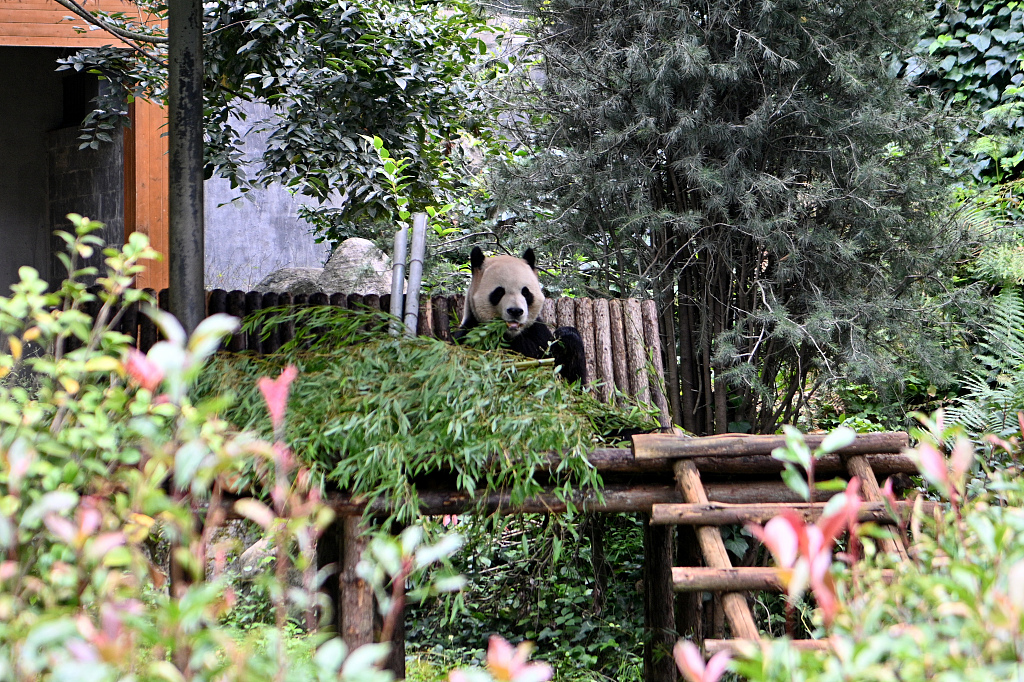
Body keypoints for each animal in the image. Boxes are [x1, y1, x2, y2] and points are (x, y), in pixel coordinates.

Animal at [454, 244, 589, 382]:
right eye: (499, 292)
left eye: (525, 292)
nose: (515, 311)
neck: (512, 334)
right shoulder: (471, 336)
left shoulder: (537, 332)